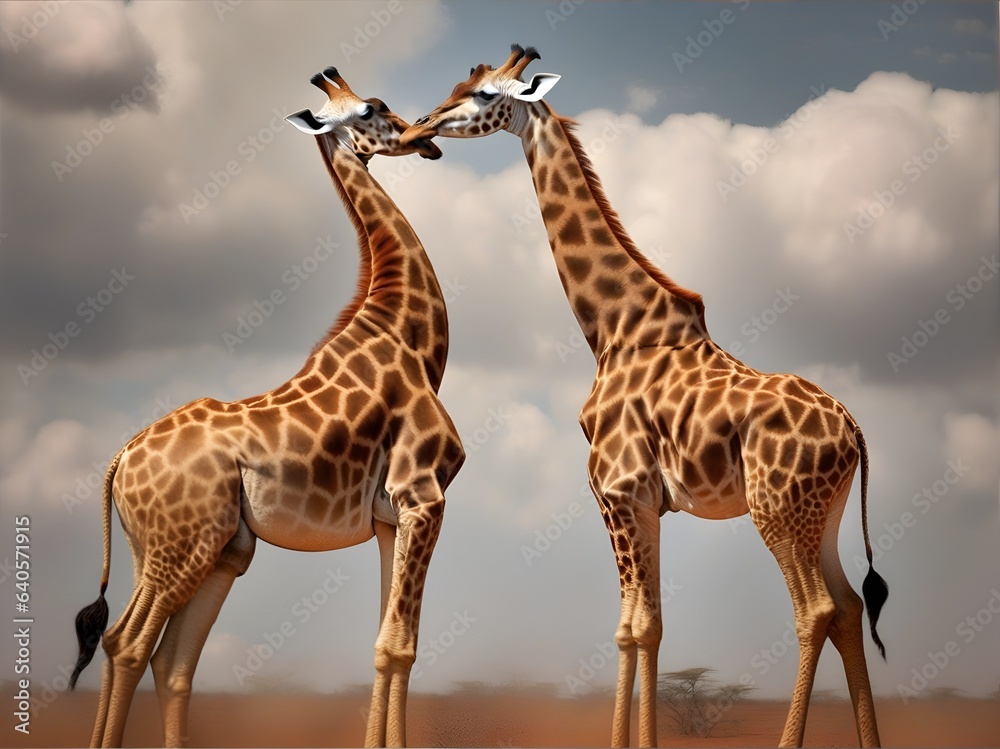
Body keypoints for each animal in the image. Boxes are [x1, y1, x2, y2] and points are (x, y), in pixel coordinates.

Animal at [70, 68, 464, 748]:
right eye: (374, 108)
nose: (424, 136)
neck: (413, 339)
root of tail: (119, 462)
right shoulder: (424, 495)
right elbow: (401, 644)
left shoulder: (393, 515)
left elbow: (387, 645)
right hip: (181, 551)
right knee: (127, 644)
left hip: (208, 552)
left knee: (171, 660)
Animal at [402, 45, 889, 748]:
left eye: (484, 92)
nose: (419, 126)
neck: (612, 330)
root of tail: (854, 431)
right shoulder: (646, 503)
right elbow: (643, 626)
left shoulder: (618, 491)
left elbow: (635, 628)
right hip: (822, 512)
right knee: (849, 607)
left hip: (776, 507)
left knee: (815, 610)